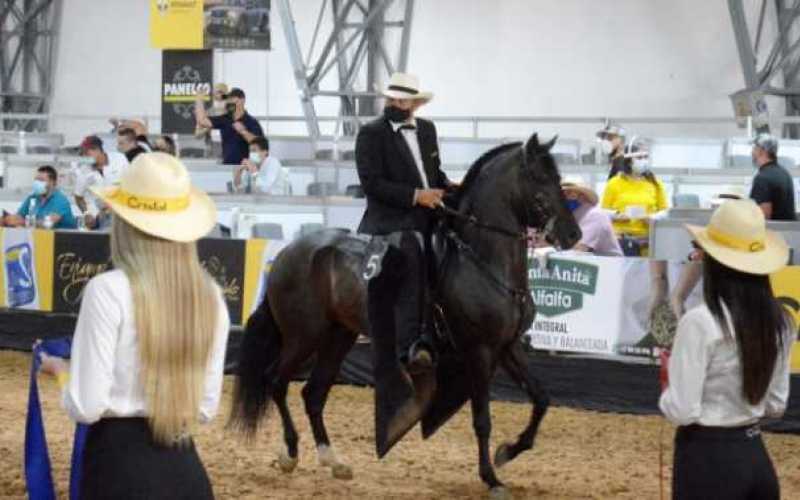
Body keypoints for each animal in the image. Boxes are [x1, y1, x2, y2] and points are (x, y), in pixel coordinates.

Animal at [228, 132, 580, 496]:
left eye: (557, 176)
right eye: (538, 177)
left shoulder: (507, 346)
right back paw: (290, 453)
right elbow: (482, 418)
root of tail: (288, 252)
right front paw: (491, 477)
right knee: (276, 381)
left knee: (312, 393)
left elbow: (541, 399)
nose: (573, 235)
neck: (483, 261)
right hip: (303, 336)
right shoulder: (479, 351)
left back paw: (333, 461)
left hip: (339, 336)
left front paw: (508, 451)